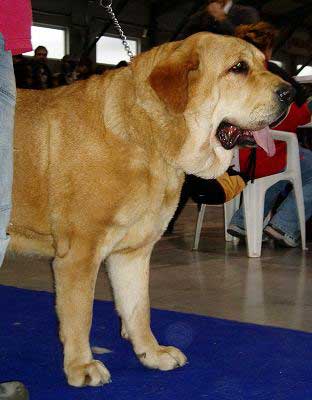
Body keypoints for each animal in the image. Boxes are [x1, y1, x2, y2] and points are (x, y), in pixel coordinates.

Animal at [9, 32, 292, 386]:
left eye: (265, 64)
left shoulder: (132, 253)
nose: (291, 93)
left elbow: (137, 308)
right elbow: (80, 314)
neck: (149, 137)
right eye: (238, 68)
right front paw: (81, 366)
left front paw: (152, 354)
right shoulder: (78, 255)